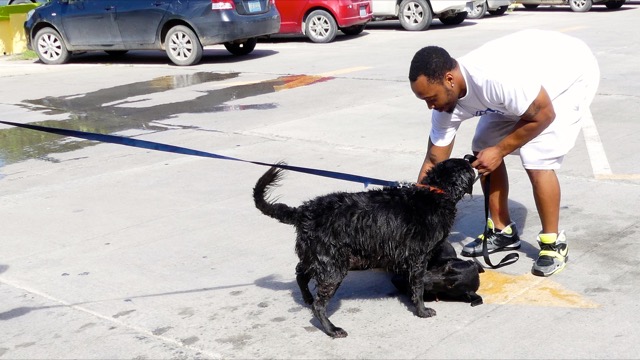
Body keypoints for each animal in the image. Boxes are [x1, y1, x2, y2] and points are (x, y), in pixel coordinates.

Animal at [254, 158, 476, 338]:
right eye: (468, 167)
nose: (471, 157)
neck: (436, 192)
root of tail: (303, 212)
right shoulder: (418, 258)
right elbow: (418, 287)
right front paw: (422, 311)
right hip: (332, 267)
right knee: (319, 305)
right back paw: (332, 329)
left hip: (317, 257)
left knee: (300, 272)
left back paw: (308, 298)